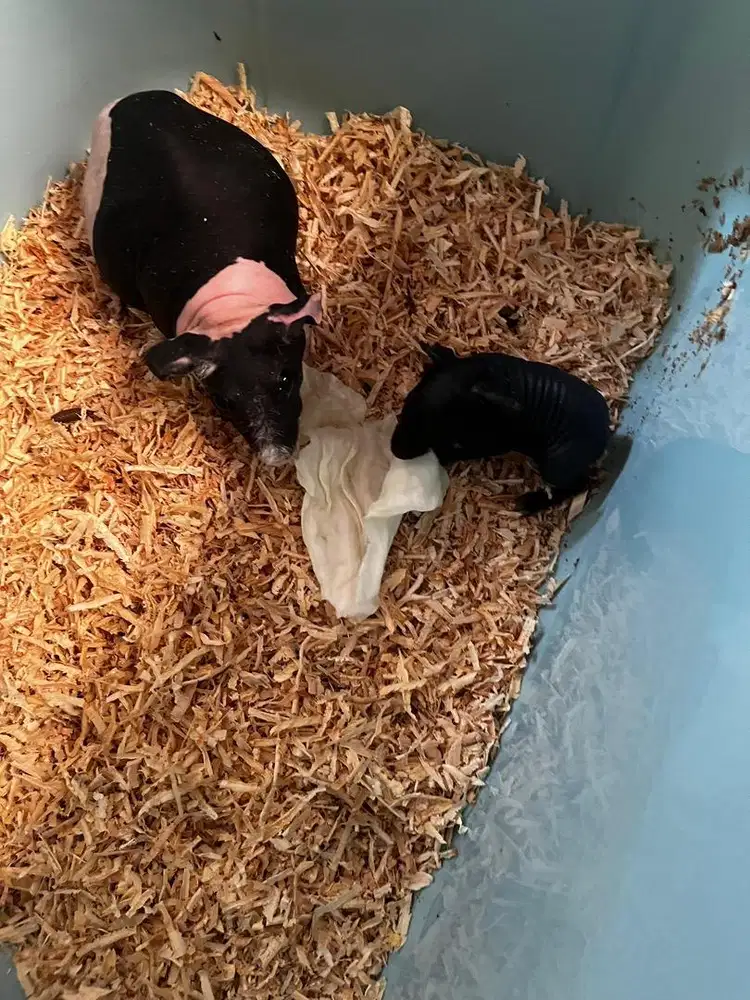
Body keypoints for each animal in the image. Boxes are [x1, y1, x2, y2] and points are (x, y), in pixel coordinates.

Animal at [390, 342, 612, 514]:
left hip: (557, 464)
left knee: (579, 484)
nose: (395, 451)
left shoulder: (496, 443)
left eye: (439, 426)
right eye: (406, 404)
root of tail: (607, 429)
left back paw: (526, 504)